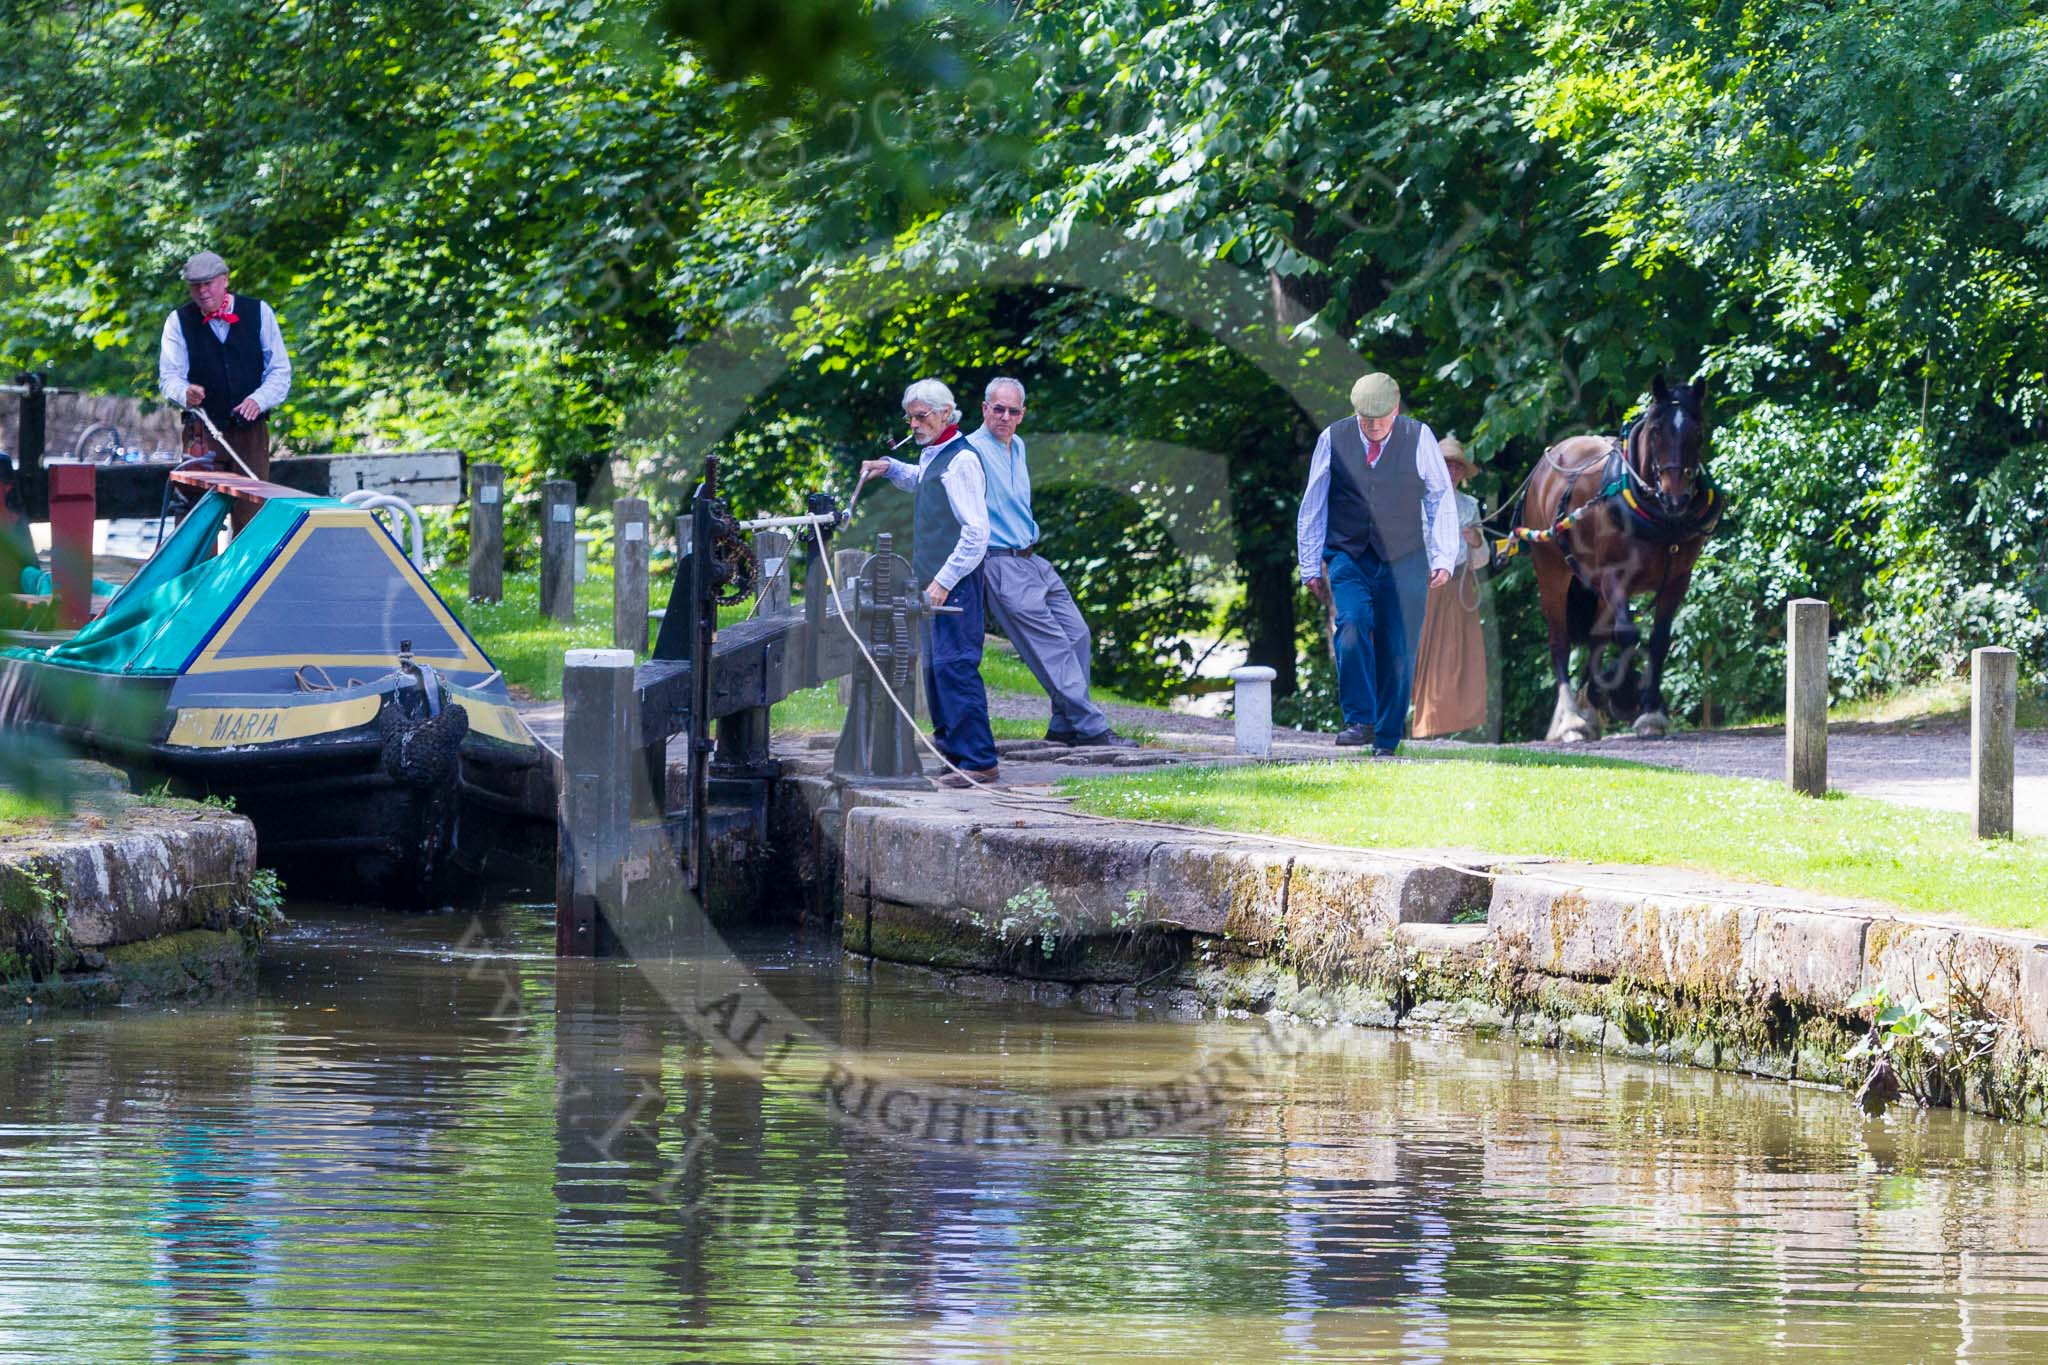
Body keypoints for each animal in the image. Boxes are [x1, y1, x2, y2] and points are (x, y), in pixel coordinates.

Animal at [1515, 374, 1720, 740]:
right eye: (1656, 430)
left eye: (1697, 431)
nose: (1677, 498)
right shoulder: (1613, 575)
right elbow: (1626, 635)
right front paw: (1623, 694)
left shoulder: (1678, 580)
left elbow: (1657, 640)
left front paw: (1649, 710)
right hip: (1552, 572)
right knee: (1559, 642)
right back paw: (1571, 719)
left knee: (1596, 636)